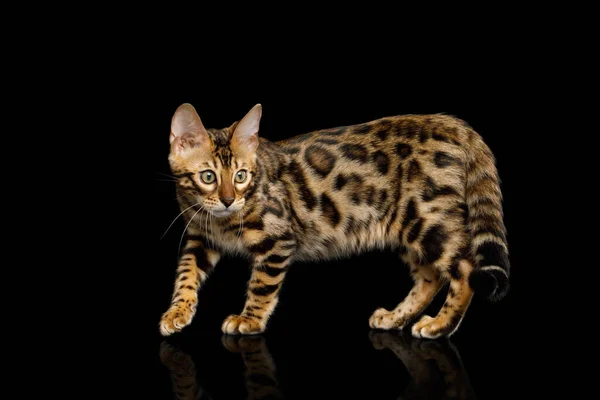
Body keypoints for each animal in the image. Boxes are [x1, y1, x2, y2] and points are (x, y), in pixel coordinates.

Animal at [161, 102, 510, 338]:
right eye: (208, 177)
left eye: (241, 176)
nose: (228, 200)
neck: (221, 222)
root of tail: (446, 121)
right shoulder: (198, 237)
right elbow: (185, 275)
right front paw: (176, 312)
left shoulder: (278, 240)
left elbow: (261, 286)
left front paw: (249, 320)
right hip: (406, 227)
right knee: (430, 277)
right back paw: (395, 318)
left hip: (425, 218)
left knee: (464, 270)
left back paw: (439, 325)